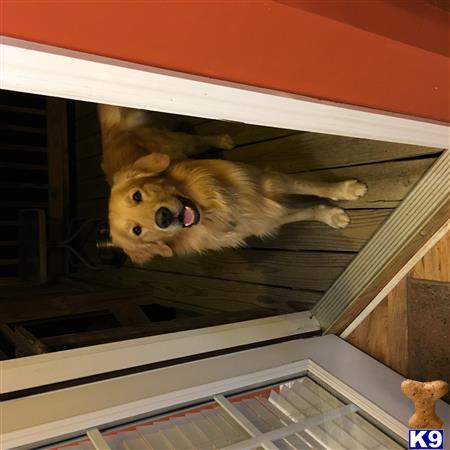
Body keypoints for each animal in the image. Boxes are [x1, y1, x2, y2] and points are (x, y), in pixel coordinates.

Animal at [98, 104, 366, 264]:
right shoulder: (263, 218)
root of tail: (110, 138)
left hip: (177, 142)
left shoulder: (268, 181)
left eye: (137, 195)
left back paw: (221, 139)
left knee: (195, 139)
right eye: (137, 231)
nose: (162, 217)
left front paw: (346, 190)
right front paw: (331, 215)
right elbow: (306, 210)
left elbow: (313, 187)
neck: (215, 208)